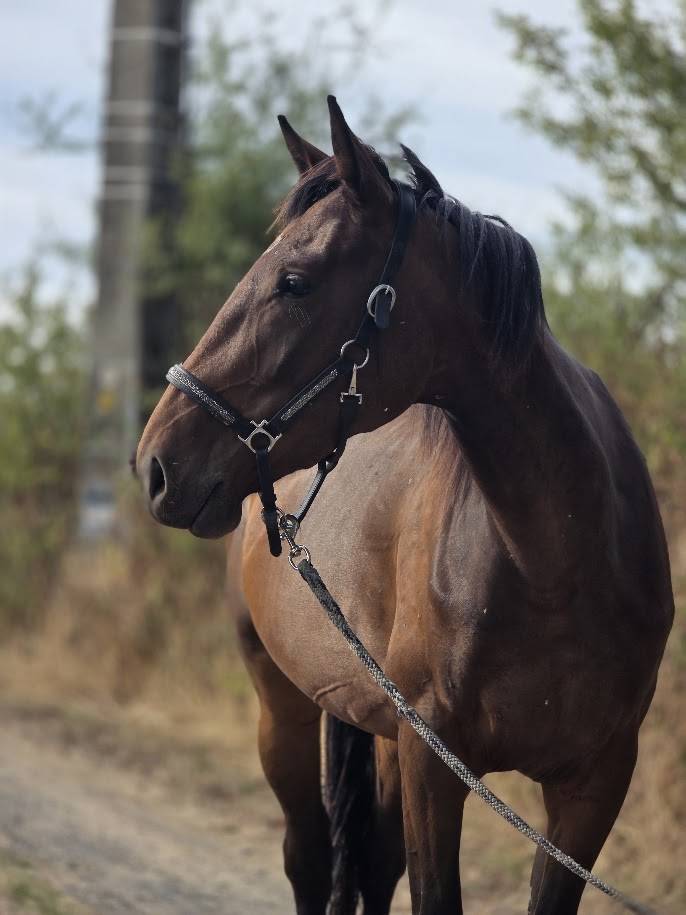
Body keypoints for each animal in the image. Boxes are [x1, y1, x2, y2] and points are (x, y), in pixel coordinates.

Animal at [136, 96, 674, 914]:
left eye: (294, 281)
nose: (156, 464)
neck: (556, 563)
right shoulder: (433, 762)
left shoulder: (593, 785)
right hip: (283, 708)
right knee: (307, 854)